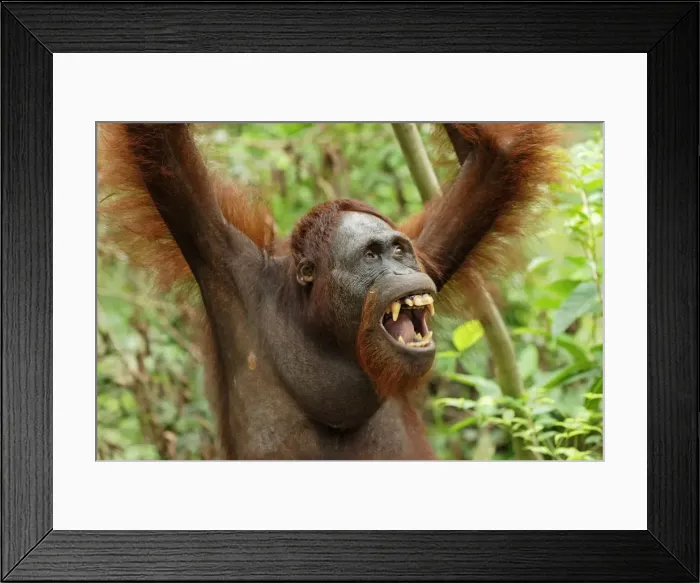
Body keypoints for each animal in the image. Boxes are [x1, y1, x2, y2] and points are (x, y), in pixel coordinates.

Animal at [98, 122, 558, 460]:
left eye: (399, 250)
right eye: (371, 256)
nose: (400, 269)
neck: (322, 326)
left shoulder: (430, 250)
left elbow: (497, 159)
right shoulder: (225, 264)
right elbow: (161, 145)